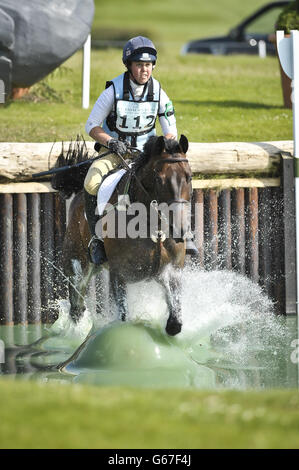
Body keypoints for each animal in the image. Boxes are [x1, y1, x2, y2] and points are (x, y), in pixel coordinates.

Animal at [51, 134, 193, 336]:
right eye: (159, 179)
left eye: (189, 177)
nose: (179, 230)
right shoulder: (119, 275)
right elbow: (123, 317)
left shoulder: (172, 270)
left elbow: (175, 322)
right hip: (77, 265)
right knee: (77, 307)